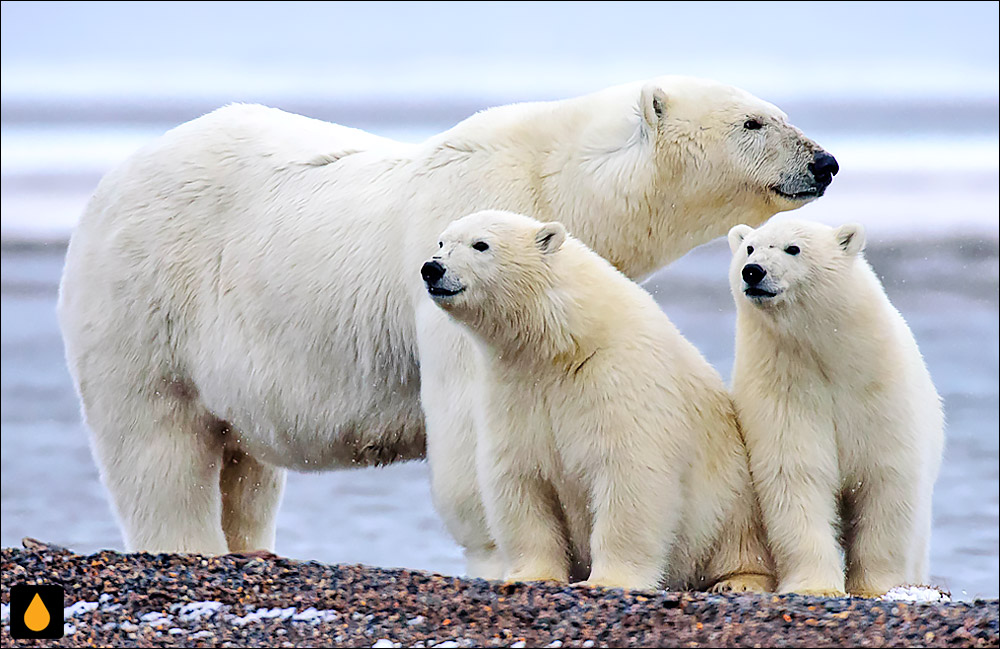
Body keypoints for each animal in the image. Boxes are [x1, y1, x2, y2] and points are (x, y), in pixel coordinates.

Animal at [56, 76, 836, 576]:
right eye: (755, 122)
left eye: (774, 111)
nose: (825, 160)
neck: (559, 181)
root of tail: (107, 185)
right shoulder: (464, 236)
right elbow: (468, 412)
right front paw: (500, 551)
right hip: (147, 299)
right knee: (157, 441)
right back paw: (190, 543)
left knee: (243, 462)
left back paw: (253, 544)